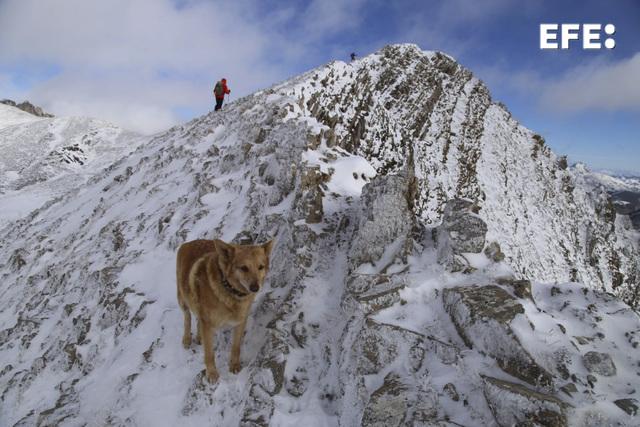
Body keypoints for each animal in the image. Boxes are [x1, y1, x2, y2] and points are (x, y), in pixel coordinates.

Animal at [176, 239, 274, 382]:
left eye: (260, 267)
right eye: (243, 268)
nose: (255, 287)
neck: (230, 290)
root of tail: (189, 242)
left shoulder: (240, 322)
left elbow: (236, 347)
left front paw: (234, 365)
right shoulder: (208, 325)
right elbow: (209, 353)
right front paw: (212, 373)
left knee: (198, 318)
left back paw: (199, 336)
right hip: (182, 298)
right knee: (187, 316)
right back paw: (187, 338)